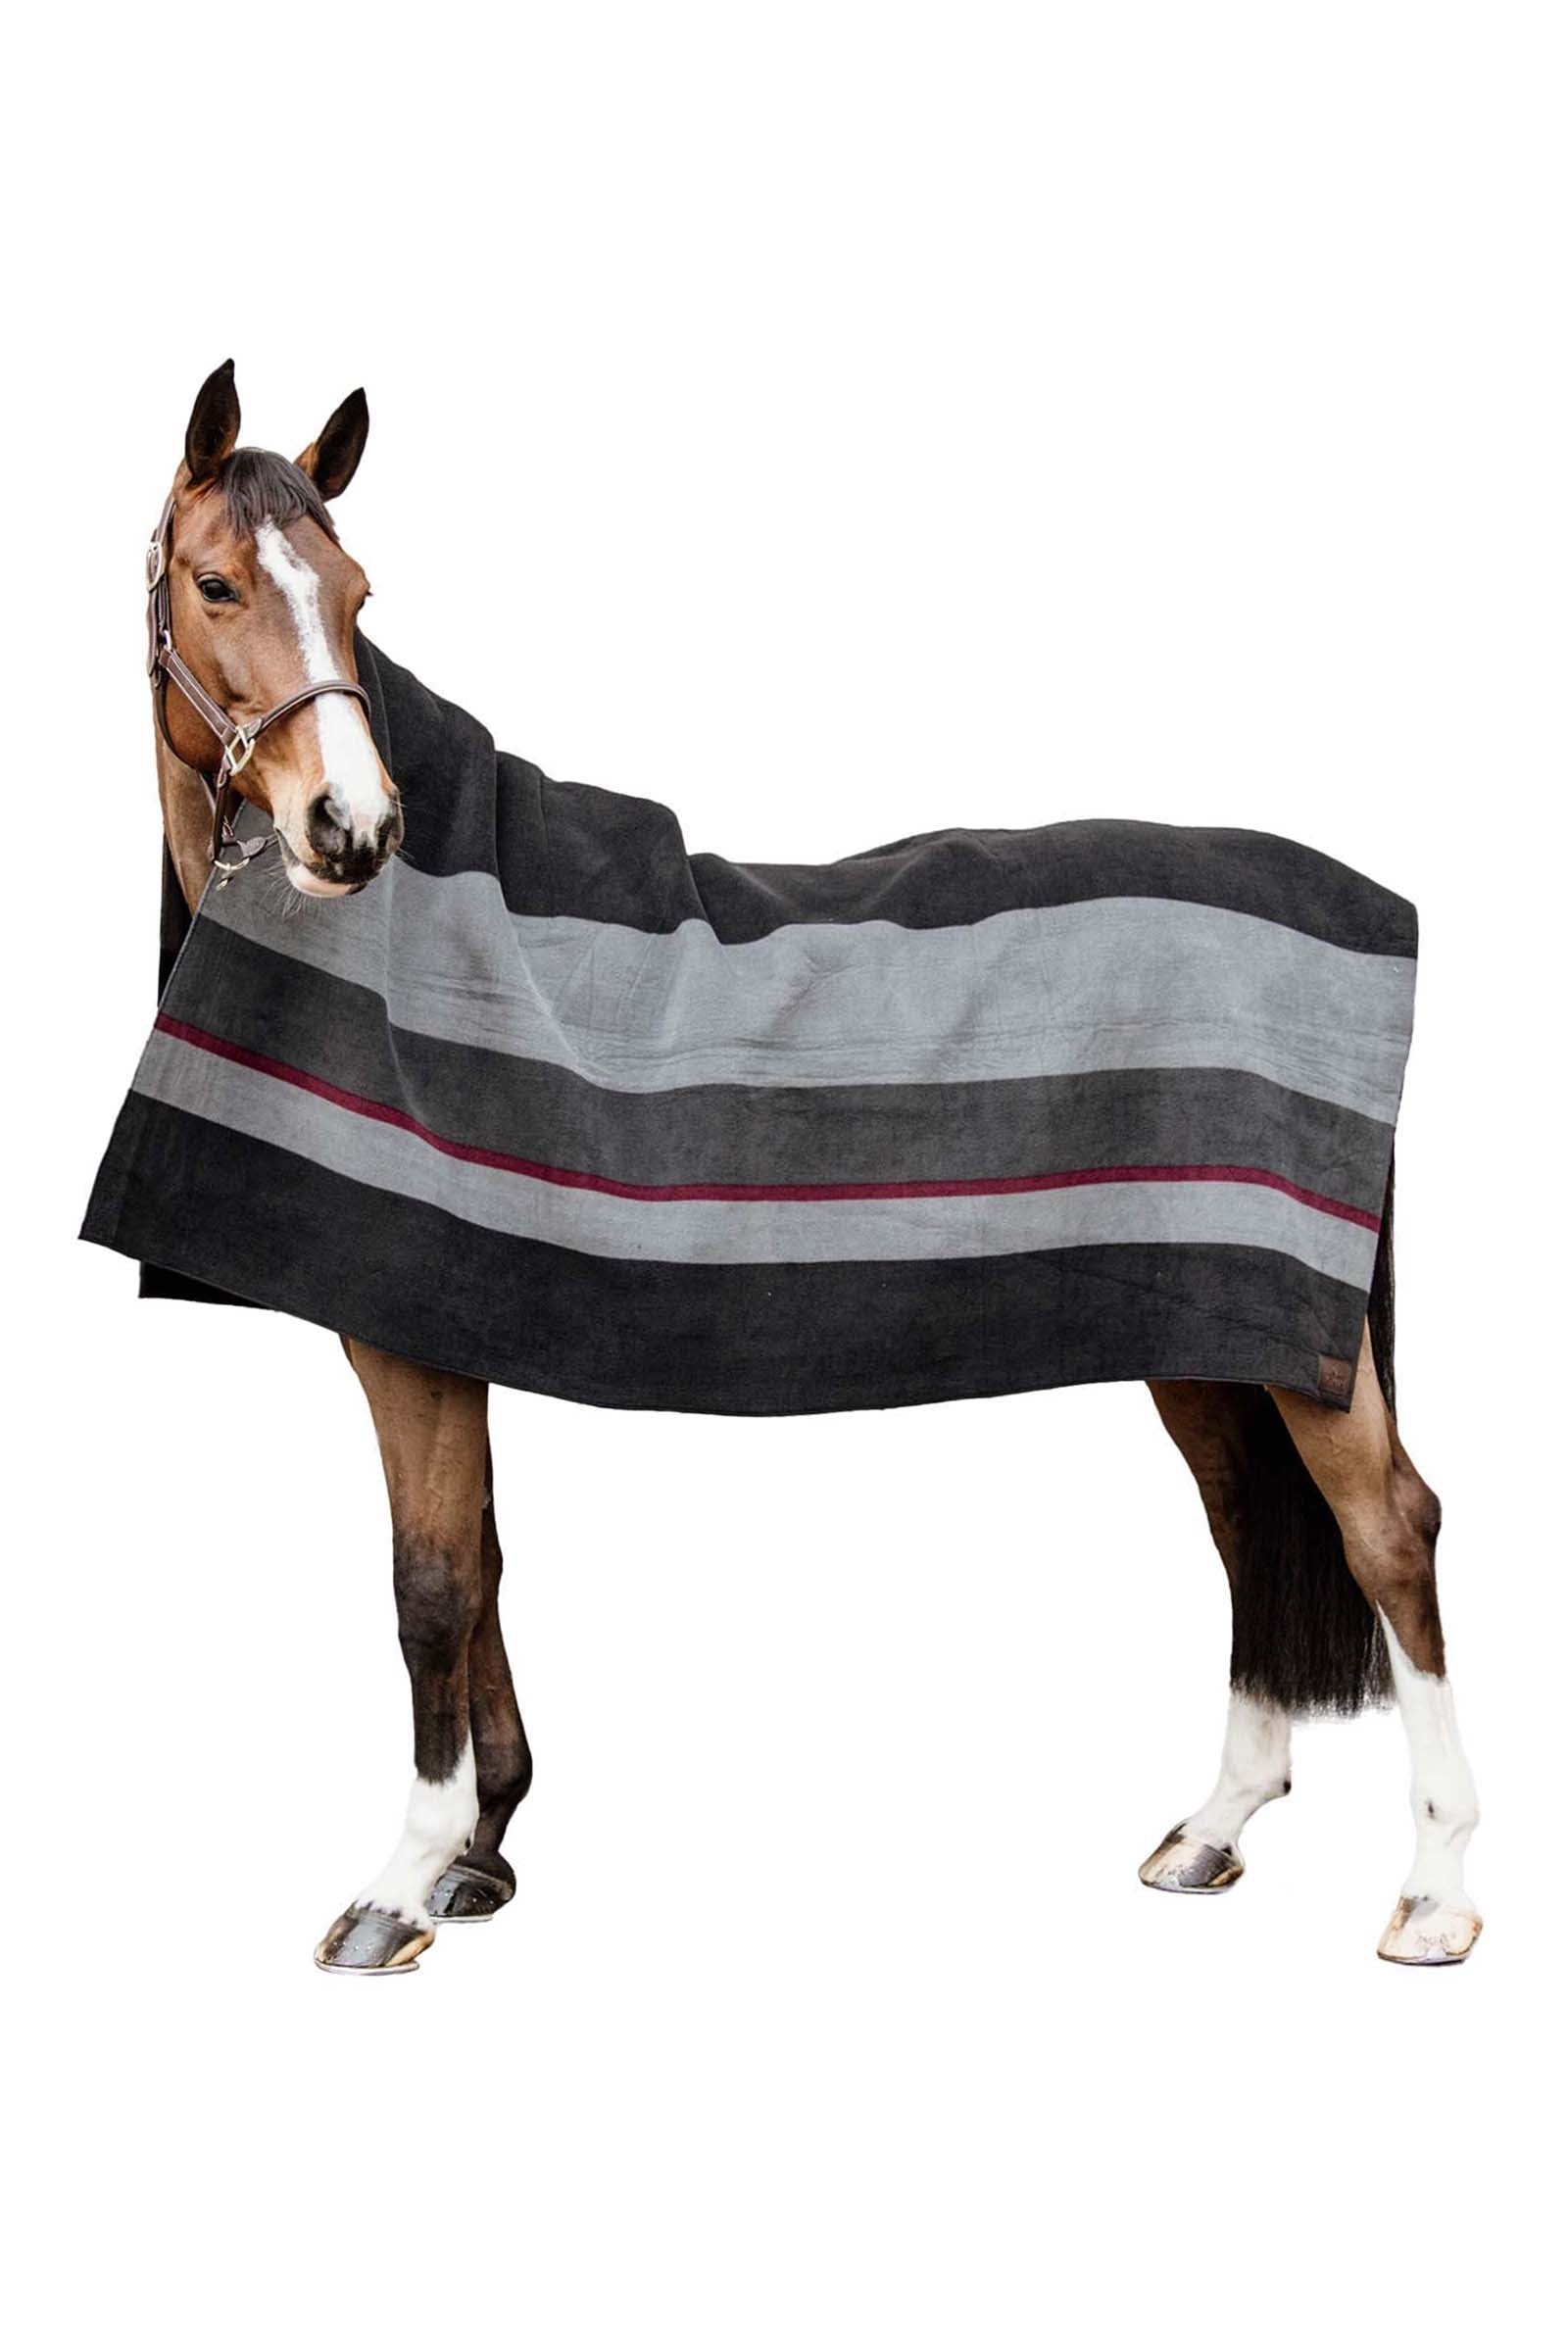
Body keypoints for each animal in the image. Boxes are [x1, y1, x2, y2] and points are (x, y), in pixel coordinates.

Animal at [109, 360, 1480, 1973]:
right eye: (217, 585)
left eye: (358, 594)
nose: (357, 829)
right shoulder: (456, 1319)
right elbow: (486, 1561)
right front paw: (485, 1851)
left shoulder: (409, 1338)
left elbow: (430, 1586)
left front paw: (401, 1882)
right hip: (1203, 1333)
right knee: (1250, 1528)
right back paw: (1213, 1828)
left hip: (1294, 1349)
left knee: (1388, 1529)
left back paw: (1438, 1892)